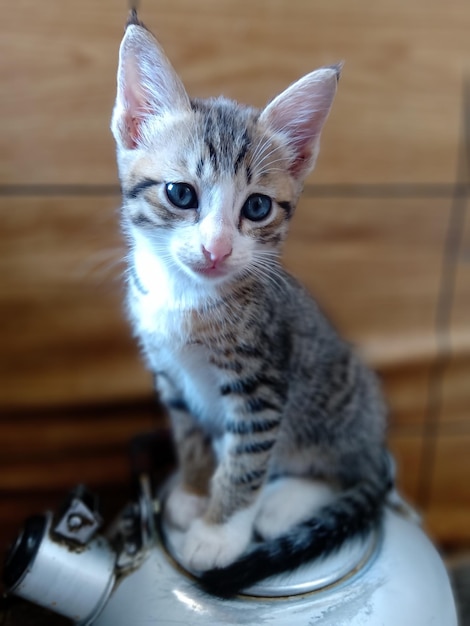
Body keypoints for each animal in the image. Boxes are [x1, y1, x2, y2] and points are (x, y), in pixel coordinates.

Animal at [111, 9, 392, 596]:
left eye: (257, 207)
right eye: (180, 194)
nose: (216, 249)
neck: (186, 298)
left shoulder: (263, 382)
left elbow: (249, 459)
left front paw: (219, 532)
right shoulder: (169, 374)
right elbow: (189, 435)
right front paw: (195, 493)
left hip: (338, 398)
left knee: (340, 467)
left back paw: (285, 502)